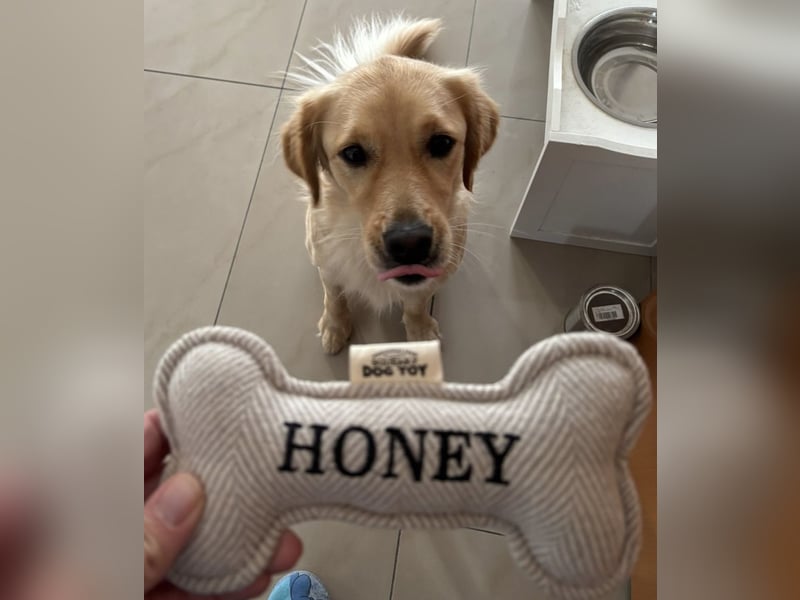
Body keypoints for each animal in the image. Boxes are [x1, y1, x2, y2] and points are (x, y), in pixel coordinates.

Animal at [282, 15, 499, 354]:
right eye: (353, 153)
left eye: (441, 143)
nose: (410, 243)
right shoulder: (325, 261)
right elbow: (334, 295)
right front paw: (335, 325)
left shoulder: (435, 275)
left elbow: (416, 302)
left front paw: (420, 330)